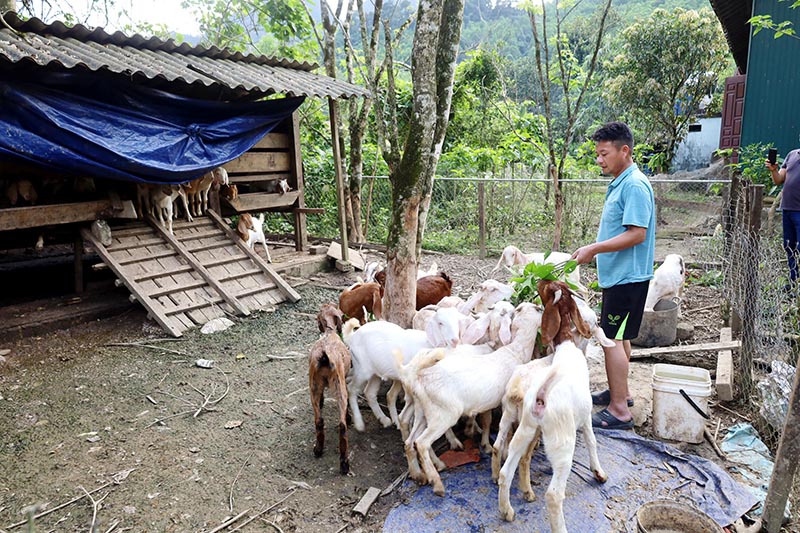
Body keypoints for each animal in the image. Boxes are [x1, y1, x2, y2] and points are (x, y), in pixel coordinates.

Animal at [308, 304, 352, 474]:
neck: (329, 333)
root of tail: (324, 355)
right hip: (340, 388)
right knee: (342, 426)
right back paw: (344, 463)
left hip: (313, 386)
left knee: (319, 421)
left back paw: (318, 450)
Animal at [396, 302, 544, 492]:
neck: (515, 351)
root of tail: (418, 375)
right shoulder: (504, 403)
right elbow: (503, 428)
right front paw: (494, 449)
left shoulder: (488, 402)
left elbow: (488, 421)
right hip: (444, 415)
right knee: (422, 443)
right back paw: (437, 483)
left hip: (423, 411)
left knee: (410, 440)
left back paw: (419, 473)